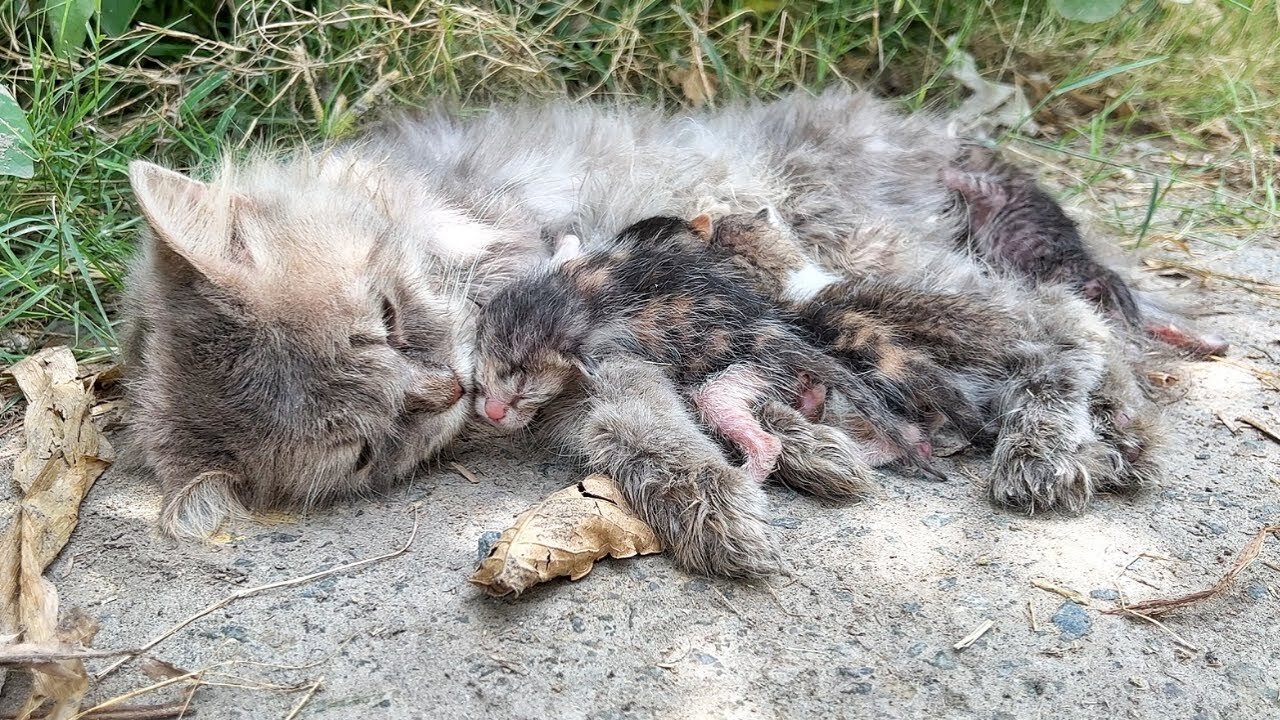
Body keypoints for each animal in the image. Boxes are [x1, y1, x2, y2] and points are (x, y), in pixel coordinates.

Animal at [476, 215, 936, 489]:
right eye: (482, 373)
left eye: (524, 388)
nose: (493, 412)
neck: (574, 296)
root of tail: (772, 331)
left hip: (743, 371)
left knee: (751, 428)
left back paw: (747, 475)